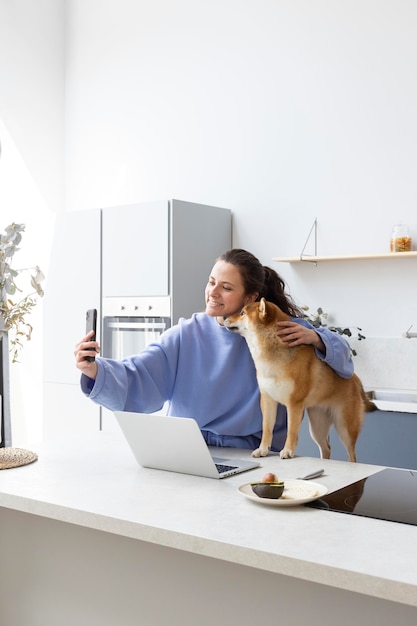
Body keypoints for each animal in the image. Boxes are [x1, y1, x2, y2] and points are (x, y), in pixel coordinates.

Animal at [224, 294, 376, 460]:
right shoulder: (267, 400)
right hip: (317, 425)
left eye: (242, 313)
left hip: (344, 427)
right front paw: (263, 449)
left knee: (351, 455)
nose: (224, 317)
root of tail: (356, 379)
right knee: (326, 448)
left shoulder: (294, 404)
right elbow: (267, 429)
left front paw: (288, 451)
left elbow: (291, 431)